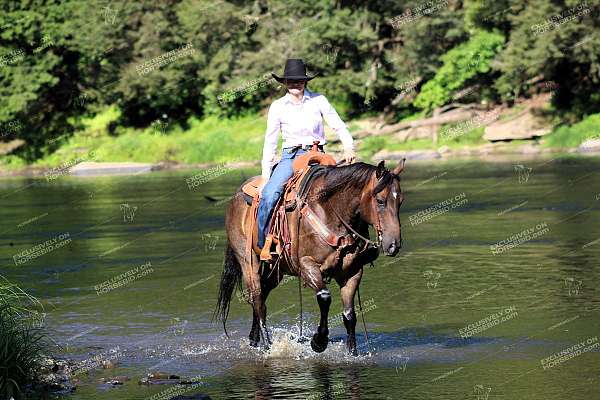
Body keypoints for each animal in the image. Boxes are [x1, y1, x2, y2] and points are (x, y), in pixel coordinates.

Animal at [213, 158, 406, 354]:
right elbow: (324, 297)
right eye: (380, 201)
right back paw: (268, 345)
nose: (393, 245)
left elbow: (349, 315)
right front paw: (318, 341)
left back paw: (253, 339)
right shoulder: (307, 266)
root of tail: (236, 196)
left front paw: (352, 352)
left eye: (400, 201)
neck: (329, 212)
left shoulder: (352, 272)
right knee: (258, 299)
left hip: (276, 269)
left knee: (262, 296)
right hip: (248, 262)